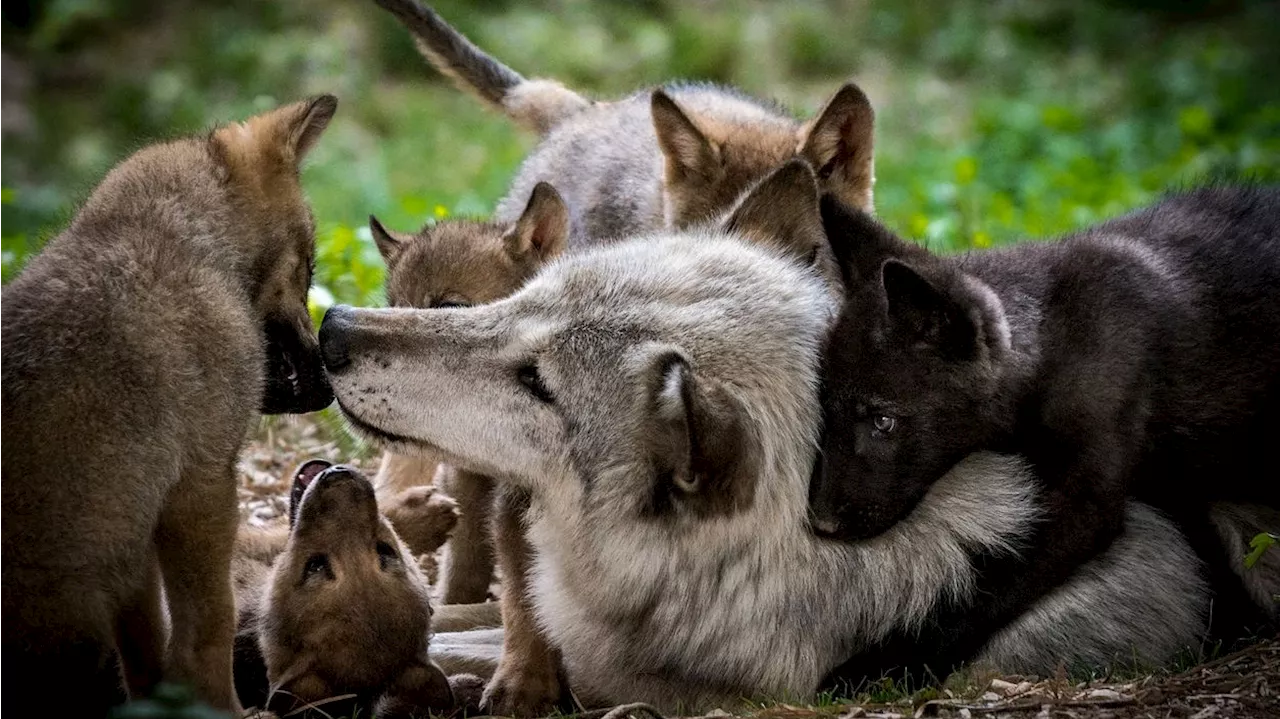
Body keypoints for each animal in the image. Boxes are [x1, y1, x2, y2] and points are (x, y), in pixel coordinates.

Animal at [0, 94, 335, 711]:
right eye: (307, 271)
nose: (327, 387)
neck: (180, 243)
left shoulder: (137, 526)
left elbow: (149, 648)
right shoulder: (201, 489)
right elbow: (208, 630)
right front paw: (224, 711)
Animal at [808, 184, 1280, 675]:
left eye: (883, 421)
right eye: (827, 412)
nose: (820, 522)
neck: (1053, 348)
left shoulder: (1083, 506)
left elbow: (973, 603)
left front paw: (869, 669)